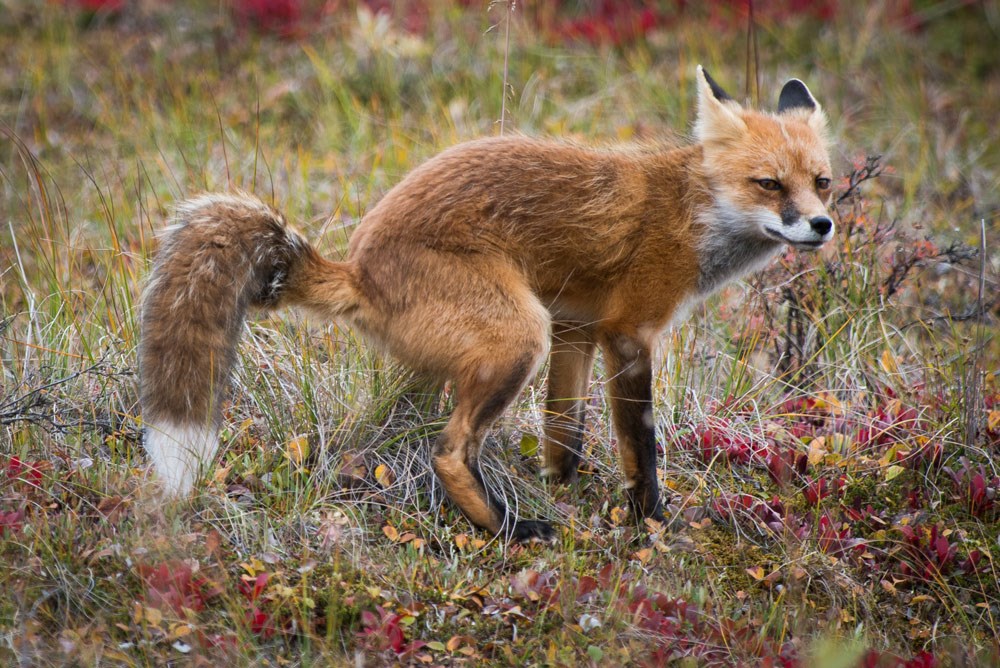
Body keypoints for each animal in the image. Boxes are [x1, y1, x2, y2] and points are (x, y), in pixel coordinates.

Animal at [137, 64, 832, 544]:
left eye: (822, 181)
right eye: (769, 184)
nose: (822, 225)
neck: (692, 214)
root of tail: (356, 270)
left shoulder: (576, 328)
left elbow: (565, 434)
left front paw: (563, 493)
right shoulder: (629, 332)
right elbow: (642, 444)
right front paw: (649, 522)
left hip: (517, 337)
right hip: (519, 335)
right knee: (447, 451)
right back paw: (508, 529)